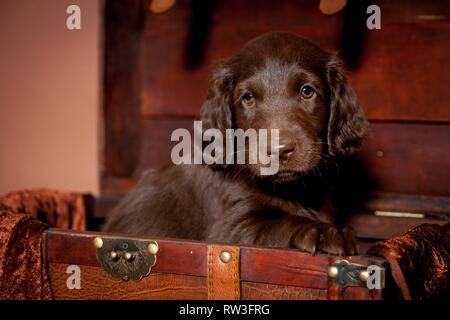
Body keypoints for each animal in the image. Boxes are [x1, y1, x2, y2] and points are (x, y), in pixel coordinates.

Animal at [103, 32, 368, 255]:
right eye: (248, 98)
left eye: (307, 91)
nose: (279, 151)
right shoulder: (228, 230)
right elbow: (278, 223)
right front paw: (324, 231)